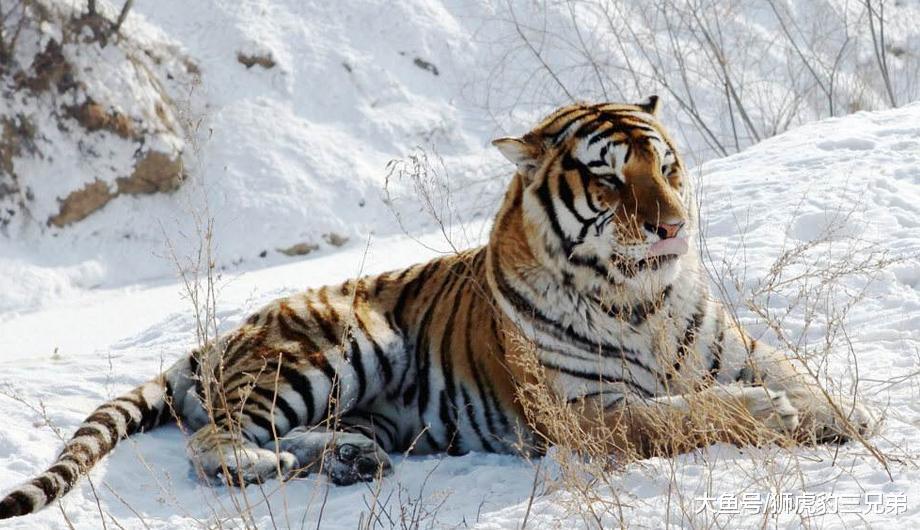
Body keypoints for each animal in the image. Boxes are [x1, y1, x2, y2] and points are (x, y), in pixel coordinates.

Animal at [0, 96, 871, 519]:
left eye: (668, 165)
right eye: (609, 178)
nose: (671, 227)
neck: (640, 300)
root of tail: (223, 335)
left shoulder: (734, 347)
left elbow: (793, 374)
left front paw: (842, 419)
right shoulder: (583, 411)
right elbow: (681, 414)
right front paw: (767, 415)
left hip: (370, 404)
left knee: (278, 434)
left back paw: (351, 460)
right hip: (333, 348)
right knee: (213, 439)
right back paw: (266, 465)